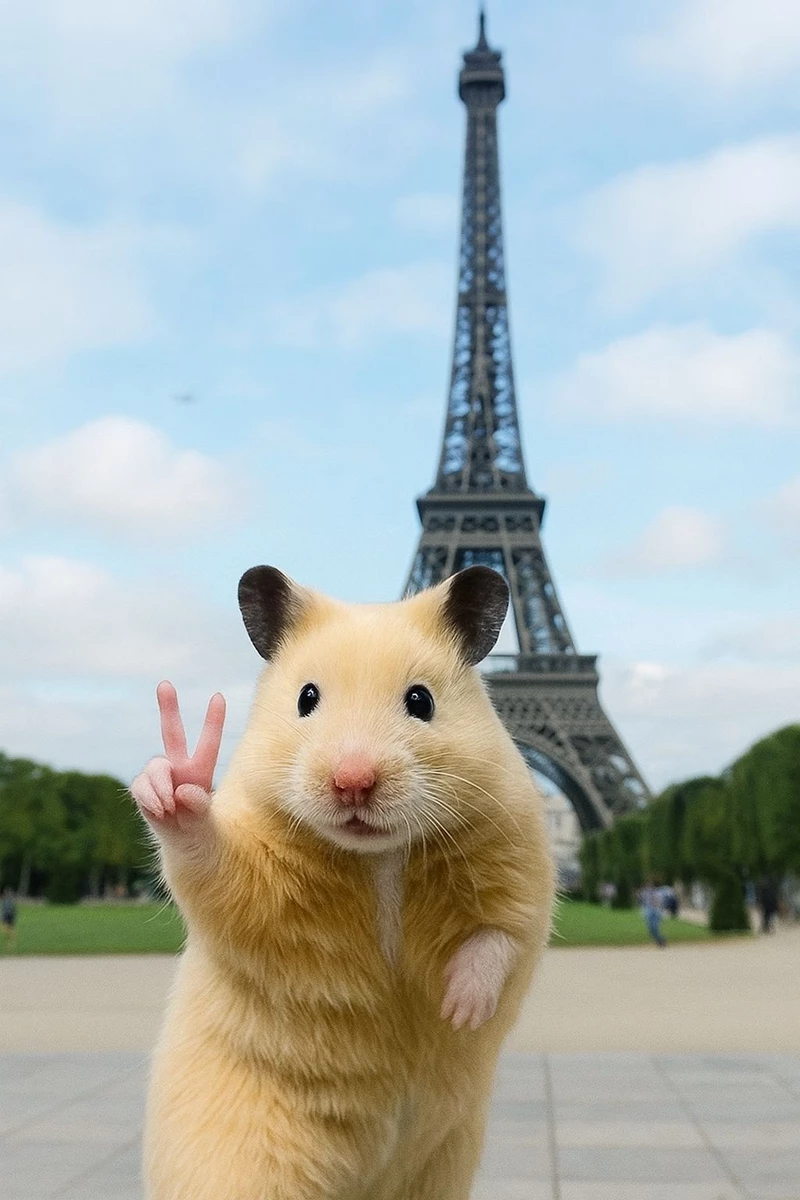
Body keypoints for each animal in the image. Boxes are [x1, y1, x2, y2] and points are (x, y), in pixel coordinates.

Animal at [130, 564, 555, 1200]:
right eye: (306, 698)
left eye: (421, 700)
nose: (353, 782)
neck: (379, 857)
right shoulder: (255, 877)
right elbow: (214, 868)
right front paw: (175, 786)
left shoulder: (518, 853)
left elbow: (501, 932)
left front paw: (459, 1009)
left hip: (441, 1166)